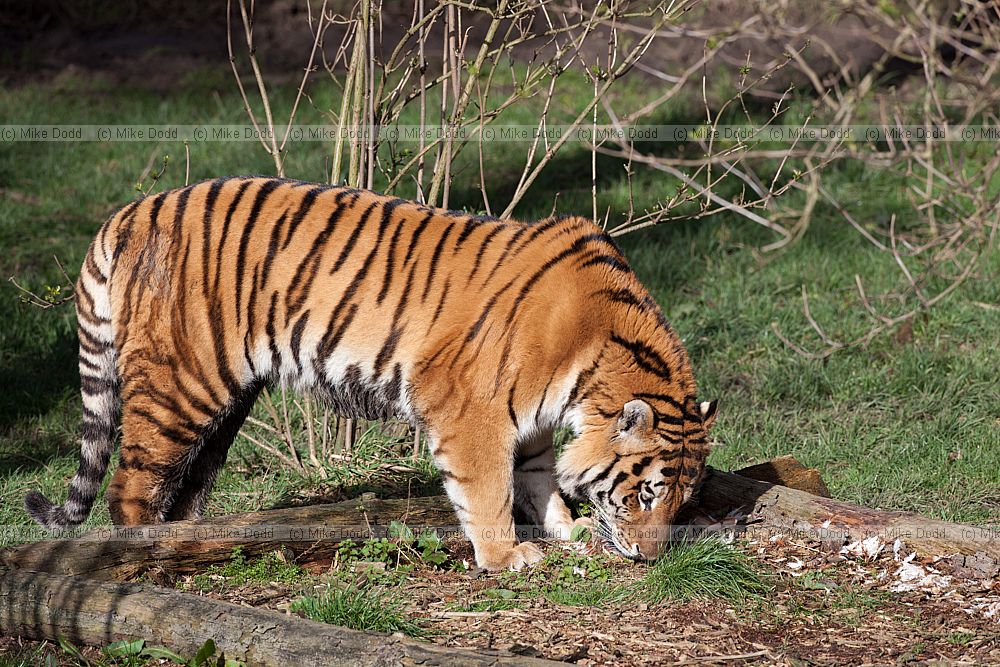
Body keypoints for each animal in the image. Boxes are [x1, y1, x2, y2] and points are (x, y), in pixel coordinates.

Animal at [25, 176, 718, 570]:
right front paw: (506, 556)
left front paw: (565, 531)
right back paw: (151, 557)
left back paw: (196, 543)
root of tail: (128, 212)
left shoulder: (537, 421)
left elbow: (540, 477)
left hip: (222, 403)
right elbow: (488, 487)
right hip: (181, 381)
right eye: (646, 494)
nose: (651, 559)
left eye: (682, 500)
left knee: (184, 482)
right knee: (129, 487)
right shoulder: (469, 407)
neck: (592, 368)